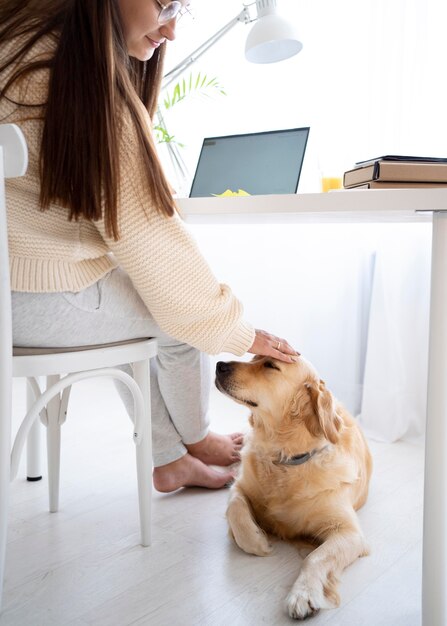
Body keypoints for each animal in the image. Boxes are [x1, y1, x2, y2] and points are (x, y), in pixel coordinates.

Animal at [215, 354, 372, 616]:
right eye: (253, 357)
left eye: (270, 365)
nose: (219, 365)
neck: (284, 458)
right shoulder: (241, 487)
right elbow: (235, 508)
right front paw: (256, 540)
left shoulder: (349, 532)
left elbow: (316, 557)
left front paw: (303, 594)